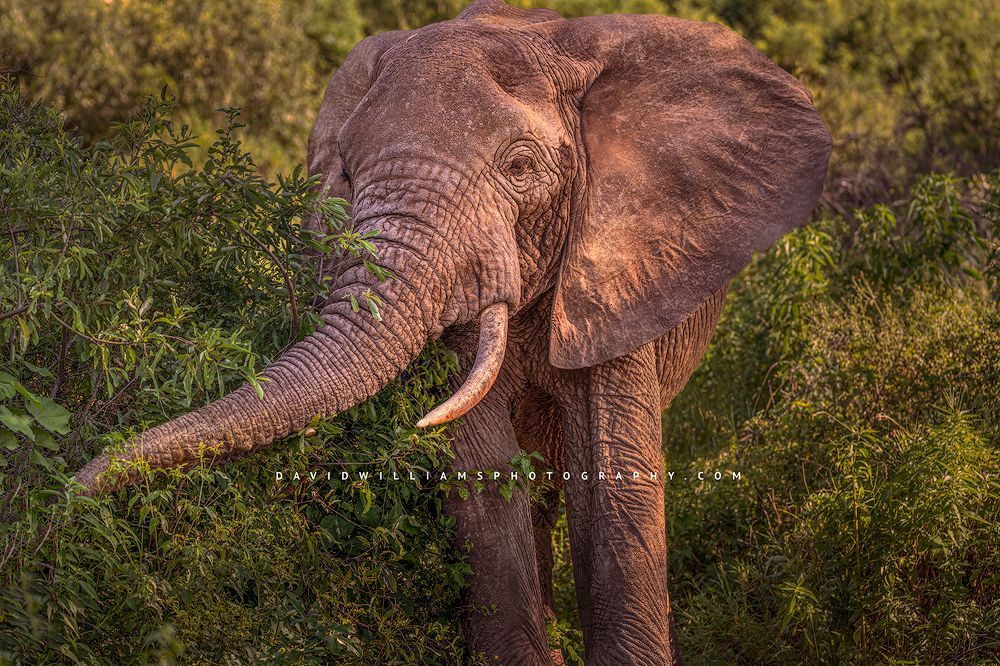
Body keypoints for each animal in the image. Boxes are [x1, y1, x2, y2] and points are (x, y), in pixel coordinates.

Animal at [74, 1, 831, 663]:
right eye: (344, 171)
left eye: (521, 167)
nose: (69, 494)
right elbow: (484, 477)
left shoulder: (618, 266)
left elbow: (614, 486)